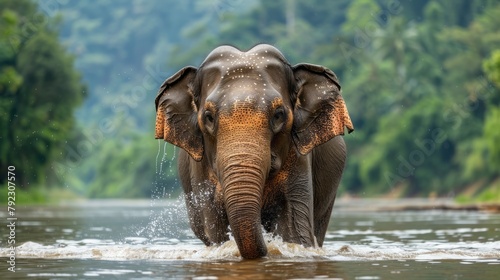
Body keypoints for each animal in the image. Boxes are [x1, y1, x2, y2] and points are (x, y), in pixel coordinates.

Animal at [154, 43, 354, 260]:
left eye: (278, 115)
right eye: (208, 117)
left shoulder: (299, 157)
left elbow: (294, 230)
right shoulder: (199, 168)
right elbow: (215, 229)